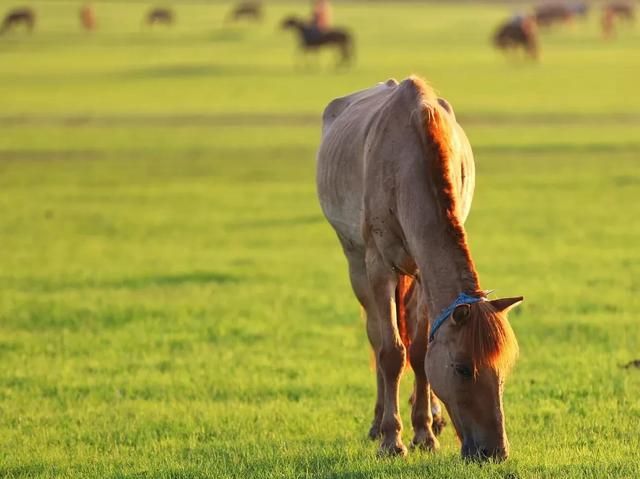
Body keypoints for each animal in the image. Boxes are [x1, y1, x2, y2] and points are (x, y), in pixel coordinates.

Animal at [318, 76, 524, 462]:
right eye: (463, 368)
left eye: (503, 370)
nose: (494, 452)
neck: (407, 165)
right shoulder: (378, 265)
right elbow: (390, 351)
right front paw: (392, 439)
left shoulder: (424, 272)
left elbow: (419, 351)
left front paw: (424, 433)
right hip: (356, 261)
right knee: (376, 335)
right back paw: (378, 421)